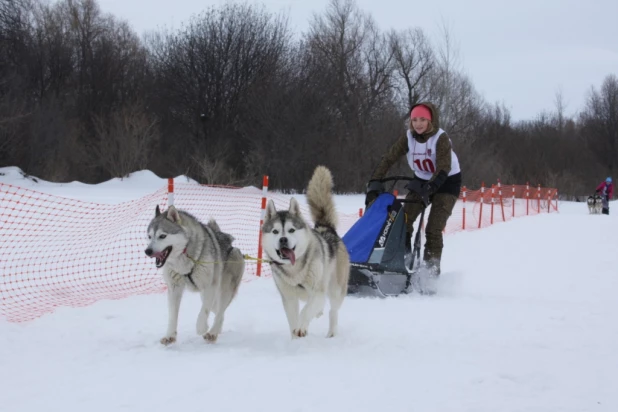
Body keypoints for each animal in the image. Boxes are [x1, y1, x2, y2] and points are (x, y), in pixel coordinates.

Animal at [144, 206, 243, 344]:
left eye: (162, 236)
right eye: (149, 236)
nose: (147, 251)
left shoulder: (210, 285)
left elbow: (204, 310)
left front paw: (201, 327)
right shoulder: (174, 288)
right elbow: (172, 315)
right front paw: (170, 336)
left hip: (225, 288)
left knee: (220, 311)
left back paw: (212, 332)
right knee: (218, 311)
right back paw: (217, 330)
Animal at [258, 166, 346, 340]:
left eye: (291, 230)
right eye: (275, 231)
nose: (283, 239)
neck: (295, 271)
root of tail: (326, 228)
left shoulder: (317, 292)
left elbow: (305, 311)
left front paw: (301, 327)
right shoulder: (289, 298)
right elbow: (293, 319)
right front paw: (295, 338)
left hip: (335, 290)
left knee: (333, 310)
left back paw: (331, 332)